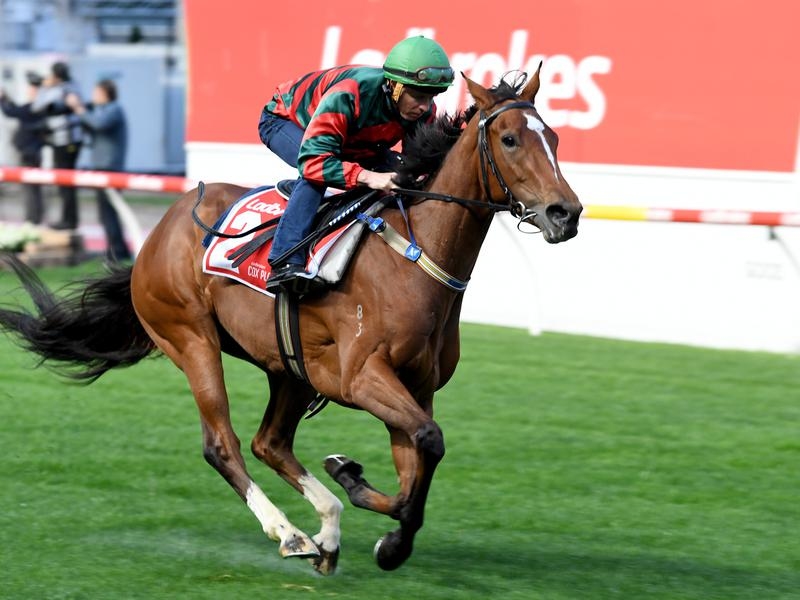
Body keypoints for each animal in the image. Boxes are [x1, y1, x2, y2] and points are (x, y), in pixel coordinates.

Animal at [0, 70, 581, 574]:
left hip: (289, 366)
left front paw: (362, 497)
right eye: (509, 139)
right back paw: (291, 533)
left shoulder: (415, 388)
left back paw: (325, 527)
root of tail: (159, 231)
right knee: (224, 444)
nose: (565, 213)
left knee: (270, 443)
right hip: (190, 338)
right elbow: (428, 444)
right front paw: (380, 526)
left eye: (552, 137)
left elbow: (416, 462)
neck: (414, 257)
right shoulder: (362, 378)